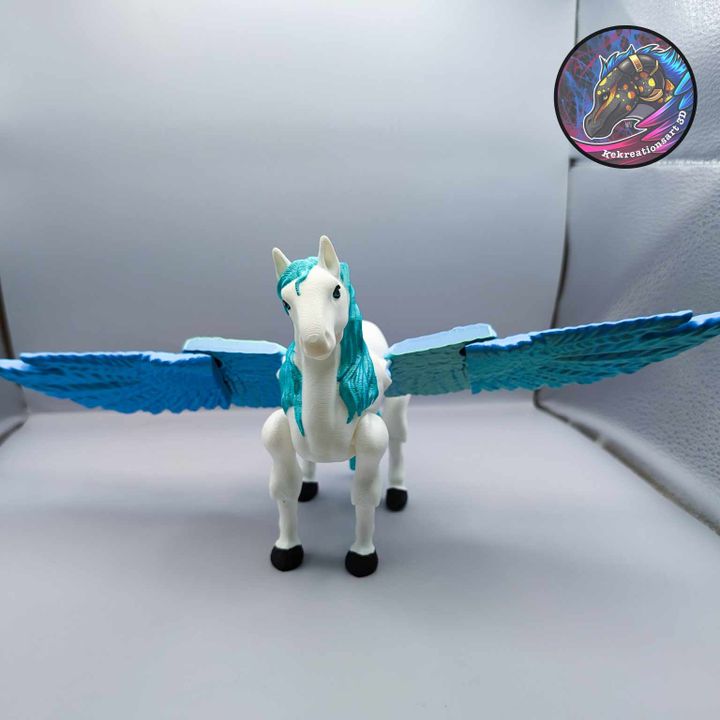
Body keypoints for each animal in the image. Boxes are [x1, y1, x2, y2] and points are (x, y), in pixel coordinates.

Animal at [262, 236, 410, 577]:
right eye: (286, 304)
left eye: (336, 291)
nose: (315, 342)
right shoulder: (277, 436)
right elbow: (284, 491)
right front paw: (286, 550)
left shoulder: (372, 440)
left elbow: (365, 496)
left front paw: (362, 556)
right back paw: (309, 485)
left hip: (395, 407)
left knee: (397, 438)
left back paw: (397, 492)